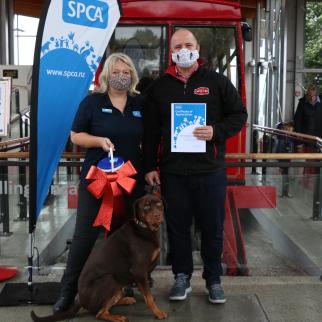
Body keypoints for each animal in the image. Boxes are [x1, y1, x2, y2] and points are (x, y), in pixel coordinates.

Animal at [31, 194, 167, 322]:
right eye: (146, 206)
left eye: (159, 204)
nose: (157, 216)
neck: (144, 229)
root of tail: (81, 300)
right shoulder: (138, 270)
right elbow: (149, 297)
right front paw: (158, 312)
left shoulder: (143, 273)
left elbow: (146, 293)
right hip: (110, 279)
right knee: (100, 313)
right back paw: (116, 317)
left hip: (117, 285)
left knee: (109, 303)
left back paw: (125, 299)